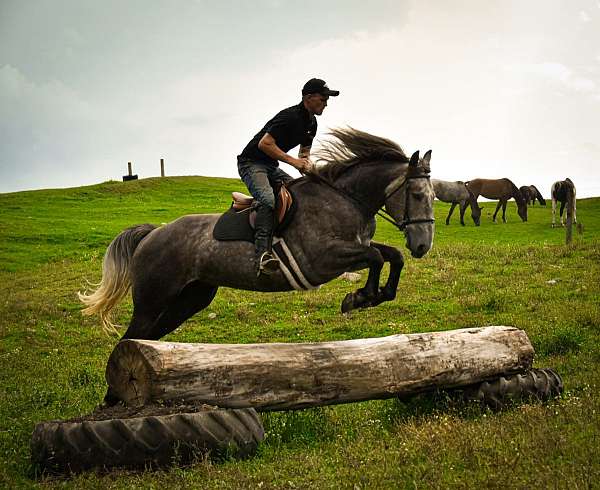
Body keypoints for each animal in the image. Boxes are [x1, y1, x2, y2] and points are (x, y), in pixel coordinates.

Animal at [79, 128, 436, 342]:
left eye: (435, 196)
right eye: (418, 194)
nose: (422, 245)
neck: (346, 197)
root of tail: (153, 234)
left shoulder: (354, 247)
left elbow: (392, 256)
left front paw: (377, 294)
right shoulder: (323, 260)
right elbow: (376, 256)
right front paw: (360, 297)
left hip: (190, 298)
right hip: (153, 300)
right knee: (130, 340)